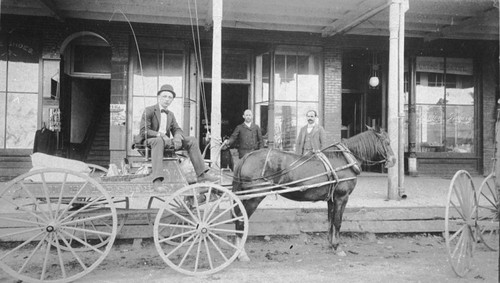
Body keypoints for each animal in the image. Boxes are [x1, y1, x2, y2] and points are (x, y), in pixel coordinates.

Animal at [232, 126, 396, 262]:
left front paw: (331, 245)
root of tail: (246, 157)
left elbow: (330, 222)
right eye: (387, 142)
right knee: (241, 221)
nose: (393, 160)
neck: (344, 160)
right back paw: (241, 253)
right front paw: (338, 247)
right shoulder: (341, 198)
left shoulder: (331, 199)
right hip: (254, 196)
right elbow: (338, 222)